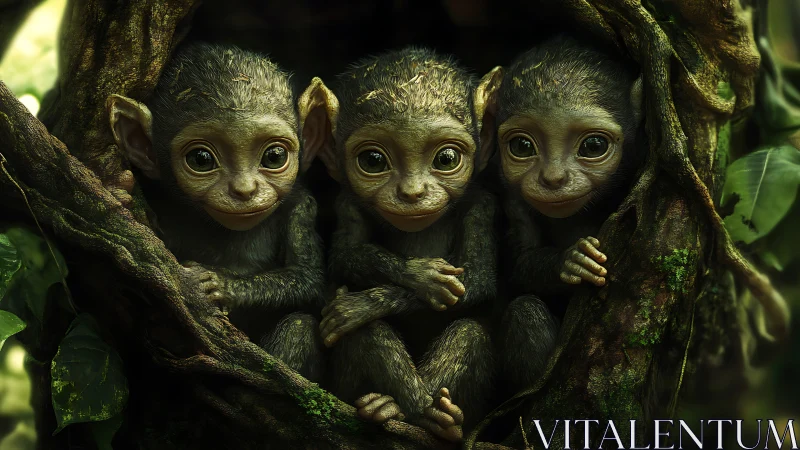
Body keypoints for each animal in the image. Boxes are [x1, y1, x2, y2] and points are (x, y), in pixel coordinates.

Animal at [106, 43, 332, 382]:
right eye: (201, 159)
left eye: (274, 156)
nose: (244, 190)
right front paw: (123, 198)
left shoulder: (303, 206)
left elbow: (310, 280)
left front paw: (219, 285)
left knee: (299, 326)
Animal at [303, 47, 502, 442]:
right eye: (373, 160)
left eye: (446, 159)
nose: (412, 193)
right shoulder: (347, 202)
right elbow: (345, 256)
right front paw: (421, 276)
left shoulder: (483, 205)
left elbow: (479, 277)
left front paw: (363, 304)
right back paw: (395, 408)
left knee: (469, 331)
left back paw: (437, 418)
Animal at [481, 35, 645, 395]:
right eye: (523, 147)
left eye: (594, 146)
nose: (553, 178)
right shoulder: (511, 195)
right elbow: (519, 264)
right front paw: (573, 261)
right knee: (524, 310)